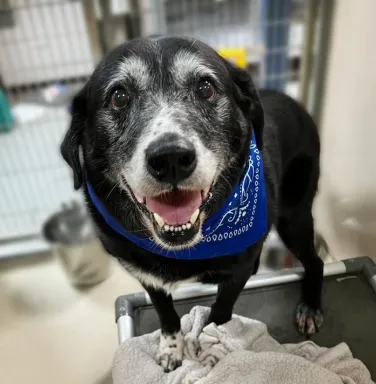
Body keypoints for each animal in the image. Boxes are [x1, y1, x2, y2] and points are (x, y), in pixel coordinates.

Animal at [61, 36, 324, 372]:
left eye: (205, 88)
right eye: (119, 97)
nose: (171, 158)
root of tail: (294, 102)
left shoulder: (234, 275)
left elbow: (221, 312)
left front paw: (210, 344)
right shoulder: (147, 277)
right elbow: (166, 314)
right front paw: (172, 348)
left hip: (294, 217)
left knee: (315, 261)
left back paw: (311, 306)